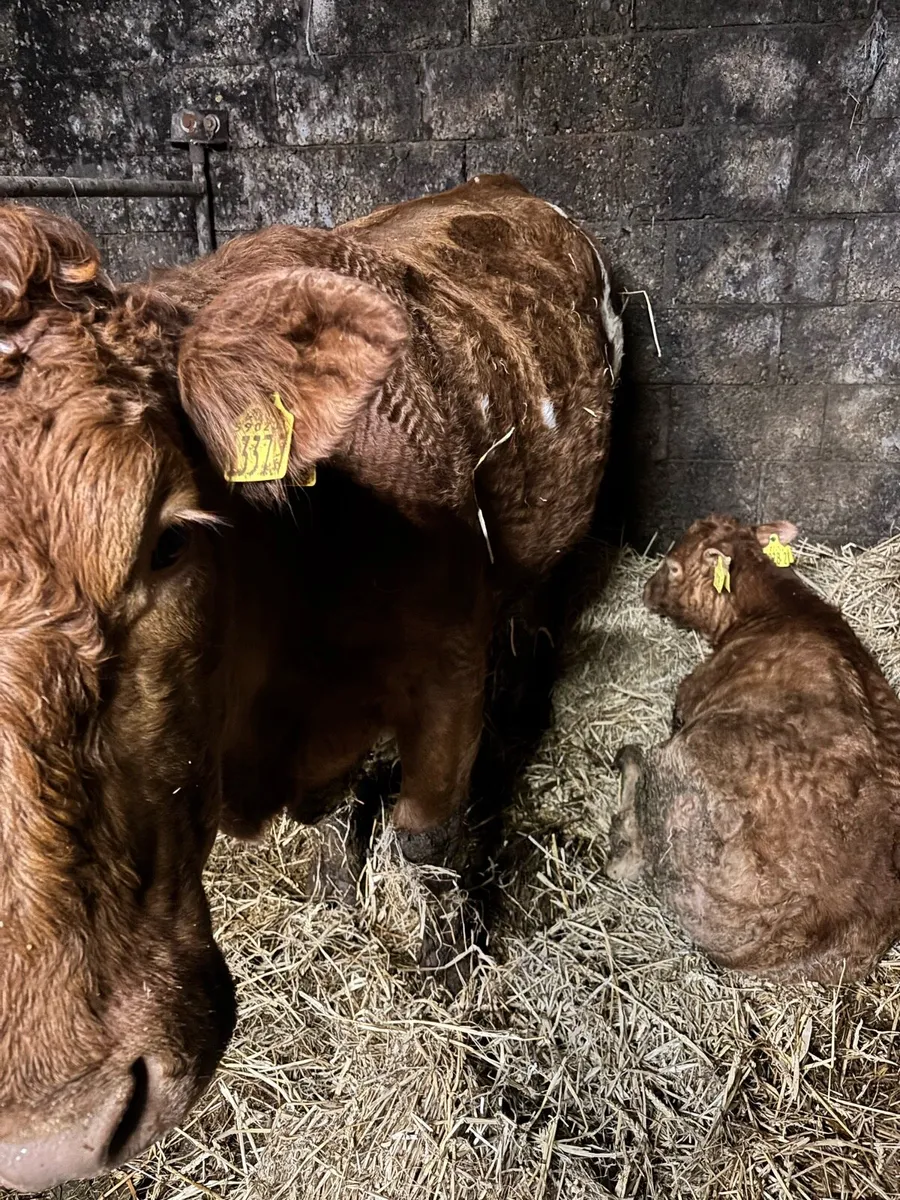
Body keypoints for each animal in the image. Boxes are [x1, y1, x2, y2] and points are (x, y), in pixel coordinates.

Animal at [0, 174, 622, 1190]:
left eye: (168, 539)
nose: (57, 1137)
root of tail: (500, 187)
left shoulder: (449, 675)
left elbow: (429, 842)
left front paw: (449, 975)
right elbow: (336, 817)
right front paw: (334, 891)